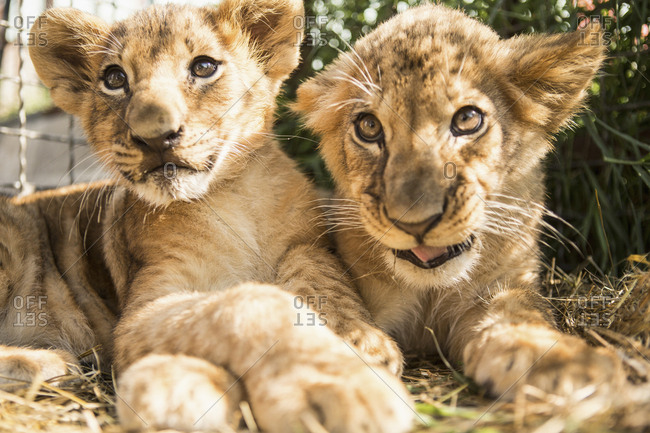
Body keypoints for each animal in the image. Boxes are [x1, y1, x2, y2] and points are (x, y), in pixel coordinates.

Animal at [0, 1, 415, 431]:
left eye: (203, 67)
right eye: (114, 78)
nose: (154, 136)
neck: (231, 197)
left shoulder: (306, 243)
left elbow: (324, 279)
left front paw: (360, 338)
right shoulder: (139, 314)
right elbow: (246, 303)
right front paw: (342, 386)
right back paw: (50, 361)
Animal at [294, 4, 626, 400]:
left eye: (467, 119)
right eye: (369, 127)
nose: (415, 222)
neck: (428, 292)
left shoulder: (507, 278)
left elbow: (520, 310)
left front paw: (564, 360)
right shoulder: (315, 236)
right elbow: (315, 274)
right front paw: (354, 342)